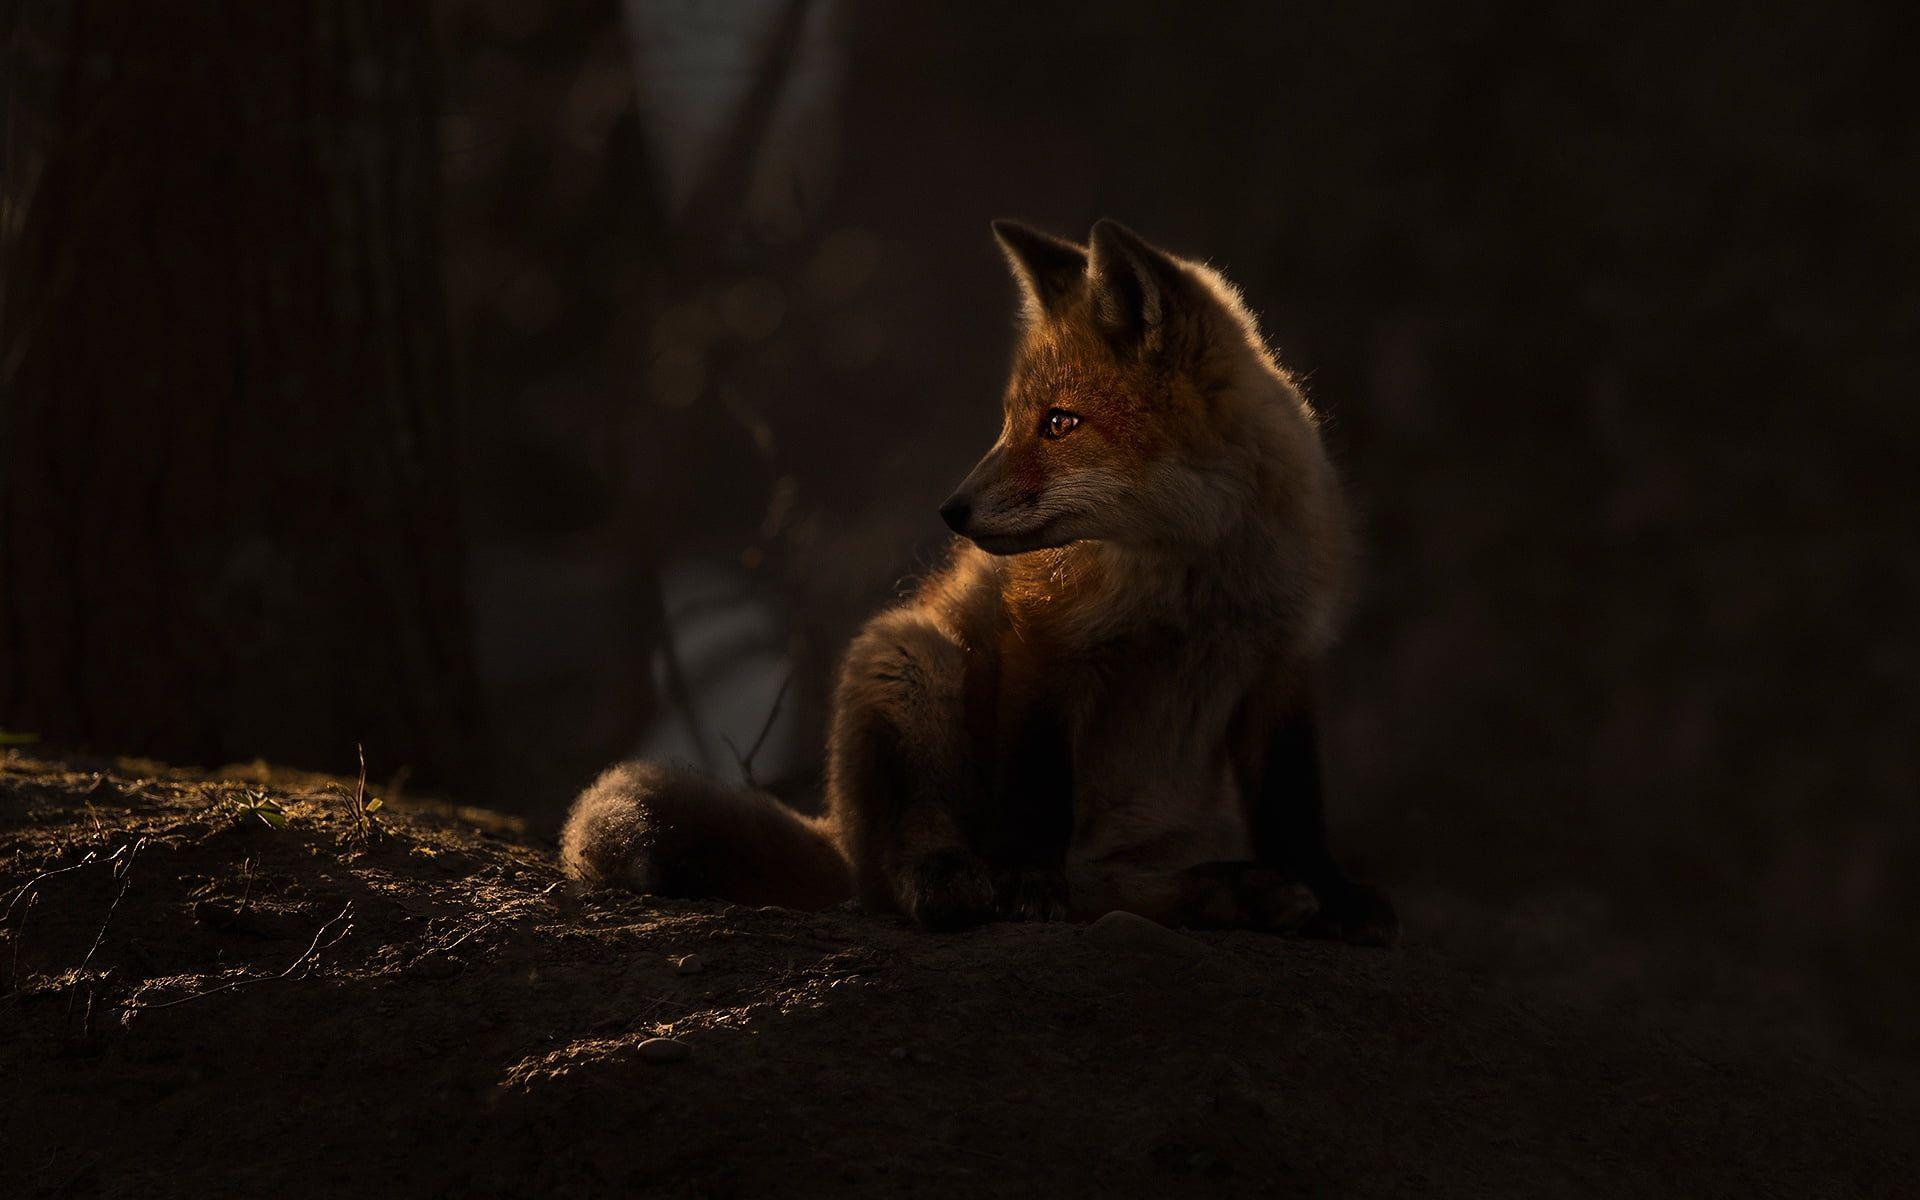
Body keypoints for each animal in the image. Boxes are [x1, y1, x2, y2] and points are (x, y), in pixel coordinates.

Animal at [561, 218, 1397, 943]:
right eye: (1013, 419)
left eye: (1060, 424)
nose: (951, 511)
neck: (1192, 584)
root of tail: (843, 837)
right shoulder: (1046, 639)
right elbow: (1035, 791)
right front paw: (1026, 881)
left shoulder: (1283, 661)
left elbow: (1295, 804)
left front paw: (1331, 896)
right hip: (911, 660)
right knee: (918, 857)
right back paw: (952, 878)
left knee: (1117, 892)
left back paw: (1232, 894)